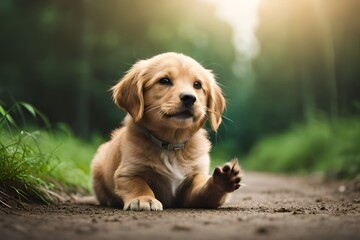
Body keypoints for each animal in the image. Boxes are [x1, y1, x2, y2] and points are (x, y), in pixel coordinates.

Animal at [90, 52, 242, 210]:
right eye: (164, 80)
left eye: (197, 84)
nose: (189, 97)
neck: (171, 145)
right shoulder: (127, 171)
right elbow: (137, 183)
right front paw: (144, 198)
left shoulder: (193, 183)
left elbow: (203, 189)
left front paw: (222, 182)